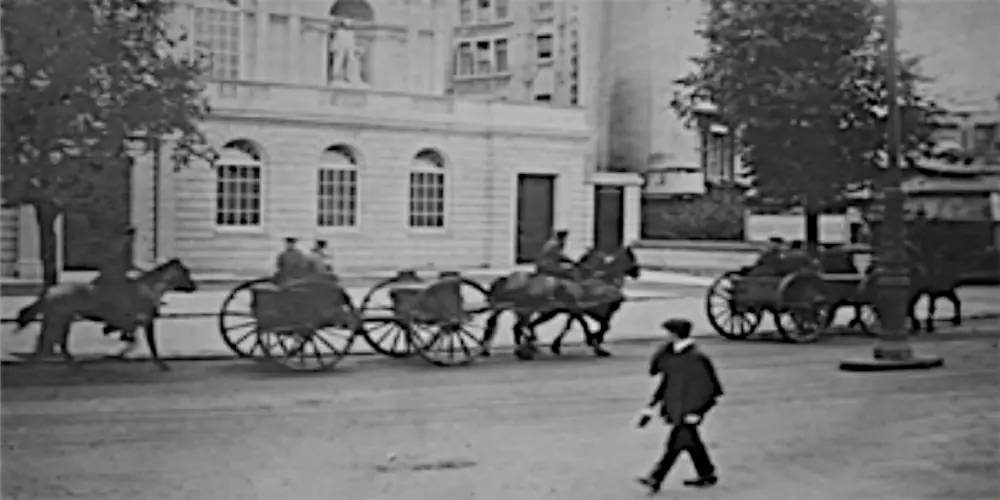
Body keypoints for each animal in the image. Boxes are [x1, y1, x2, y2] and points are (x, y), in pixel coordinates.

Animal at [14, 258, 199, 372]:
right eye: (186, 272)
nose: (194, 287)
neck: (149, 288)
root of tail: (50, 290)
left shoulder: (133, 321)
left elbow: (130, 336)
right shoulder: (146, 321)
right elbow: (150, 345)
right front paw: (162, 365)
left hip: (62, 319)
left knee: (55, 341)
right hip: (60, 319)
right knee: (52, 339)